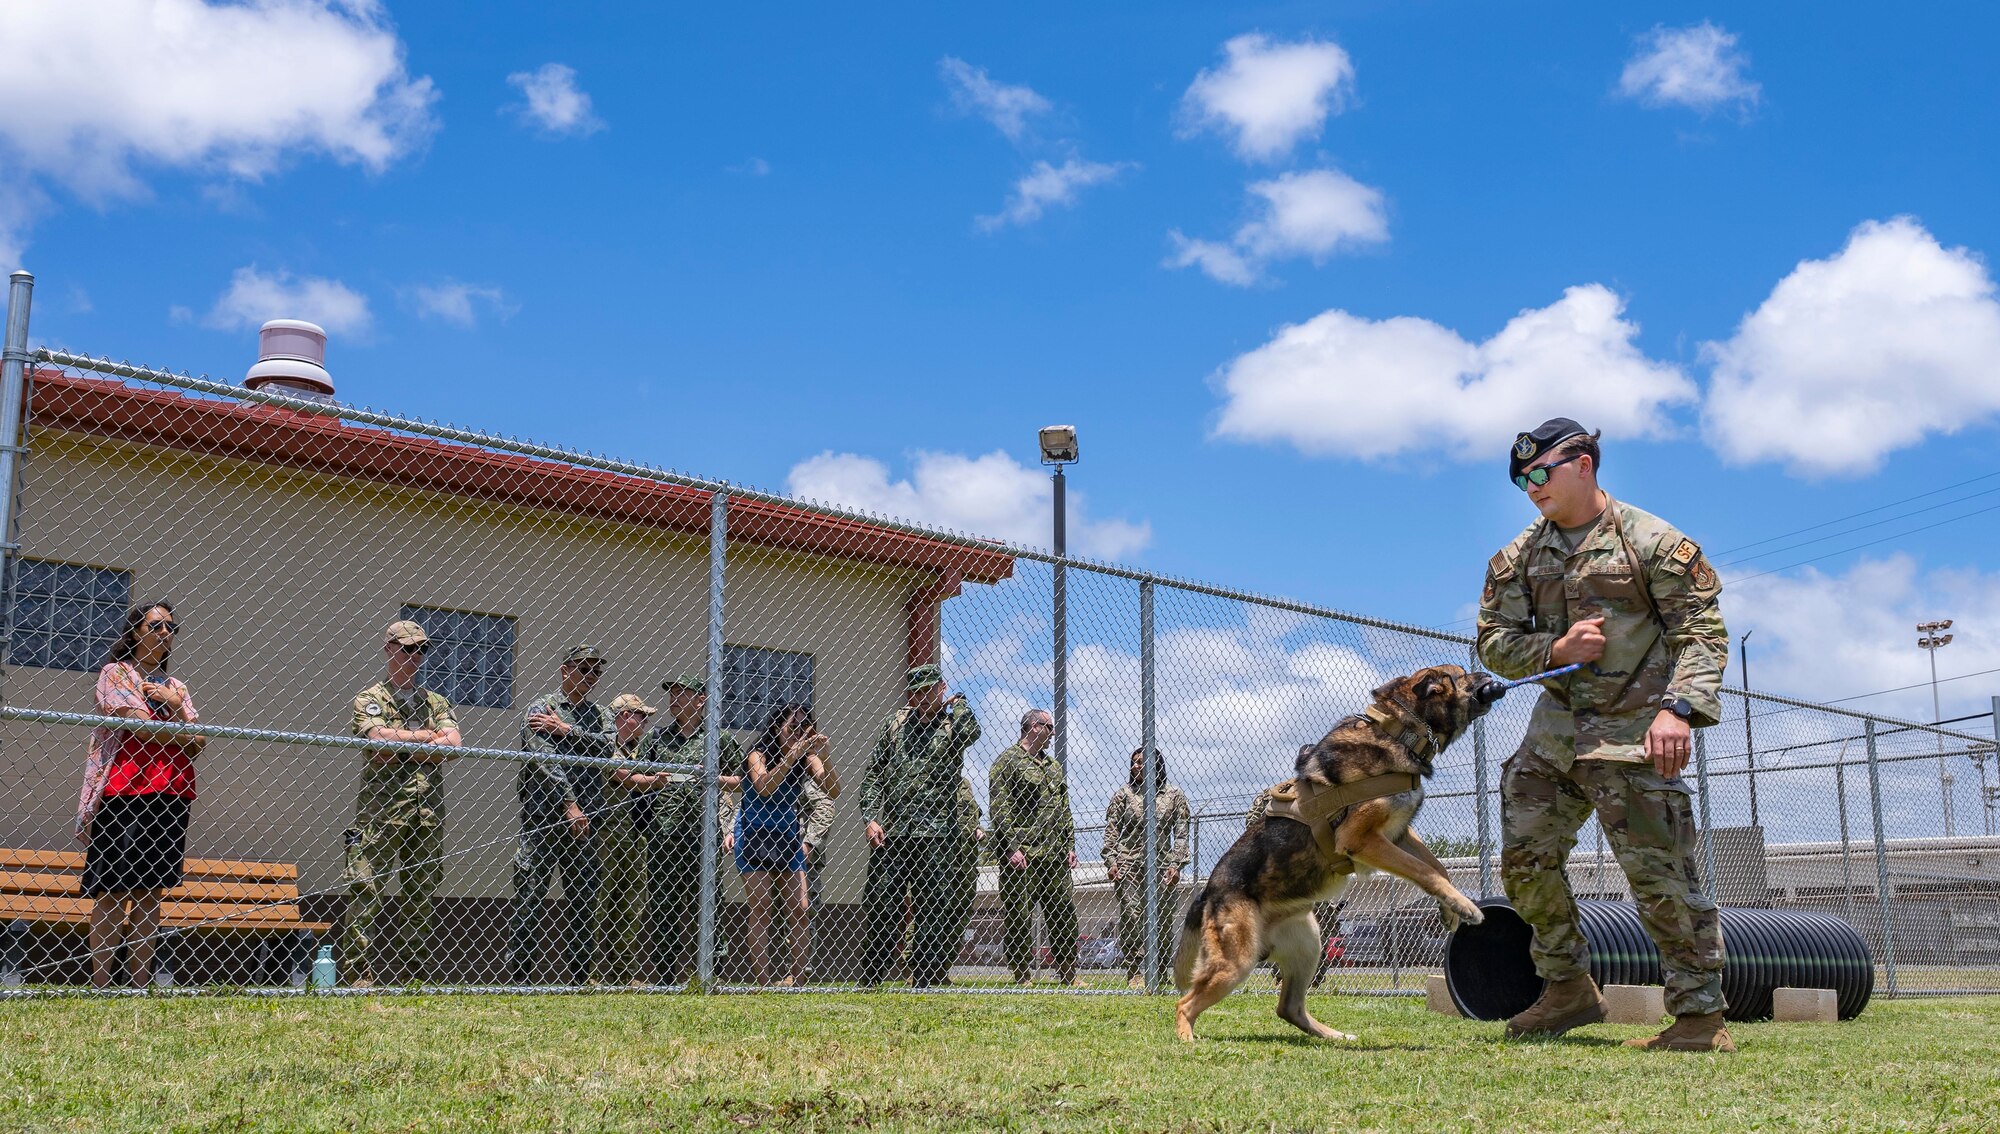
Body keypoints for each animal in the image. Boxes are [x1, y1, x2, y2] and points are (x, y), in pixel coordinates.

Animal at [1168, 664, 1504, 1048]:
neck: (1398, 731)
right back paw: (1187, 1039)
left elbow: (1436, 868)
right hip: (1236, 962)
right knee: (1185, 1002)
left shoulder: (1399, 833)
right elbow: (1425, 871)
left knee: (1289, 1008)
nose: (1493, 679)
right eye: (1462, 676)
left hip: (1308, 946)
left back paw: (1334, 1035)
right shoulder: (1362, 839)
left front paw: (1450, 909)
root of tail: (1207, 893)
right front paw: (1466, 907)